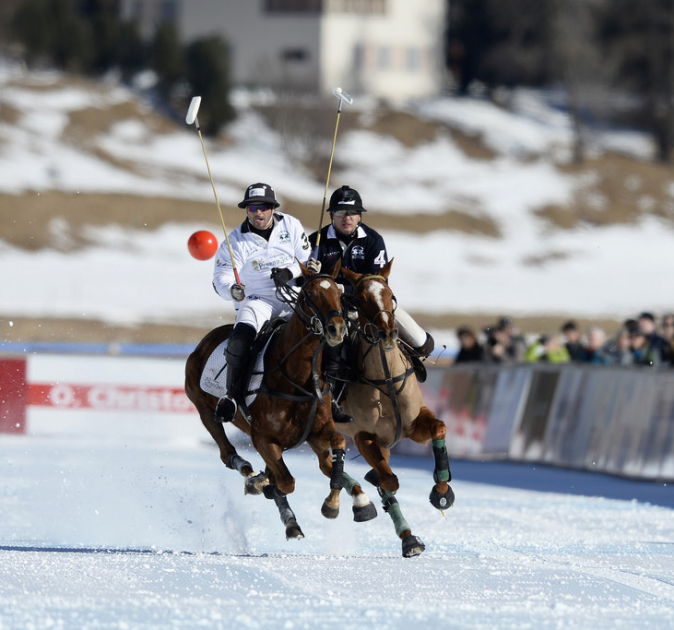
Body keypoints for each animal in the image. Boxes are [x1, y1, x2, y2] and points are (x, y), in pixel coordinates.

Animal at [185, 260, 377, 540]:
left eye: (338, 293)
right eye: (310, 295)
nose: (337, 329)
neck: (298, 378)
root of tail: (205, 341)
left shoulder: (317, 432)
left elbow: (336, 448)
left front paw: (341, 503)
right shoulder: (263, 439)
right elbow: (287, 482)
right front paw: (261, 484)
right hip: (204, 408)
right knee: (227, 451)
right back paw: (253, 478)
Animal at [337, 260, 455, 557]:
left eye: (390, 295)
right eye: (360, 298)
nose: (387, 332)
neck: (386, 378)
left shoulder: (413, 425)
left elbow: (439, 427)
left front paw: (442, 492)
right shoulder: (363, 436)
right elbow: (389, 481)